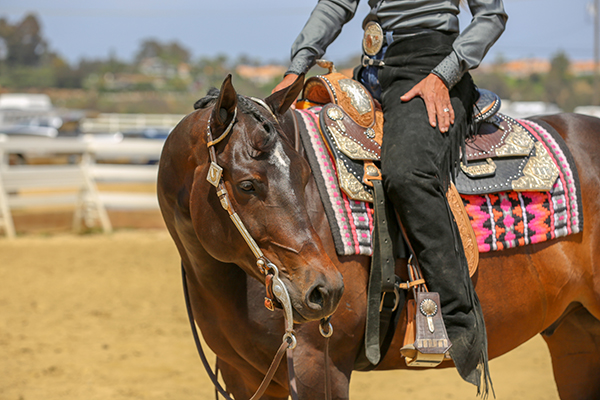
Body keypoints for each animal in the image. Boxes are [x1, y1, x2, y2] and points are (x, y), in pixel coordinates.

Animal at [157, 74, 600, 396]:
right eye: (247, 184)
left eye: (302, 175)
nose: (324, 290)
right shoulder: (244, 377)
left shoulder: (319, 366)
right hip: (576, 336)